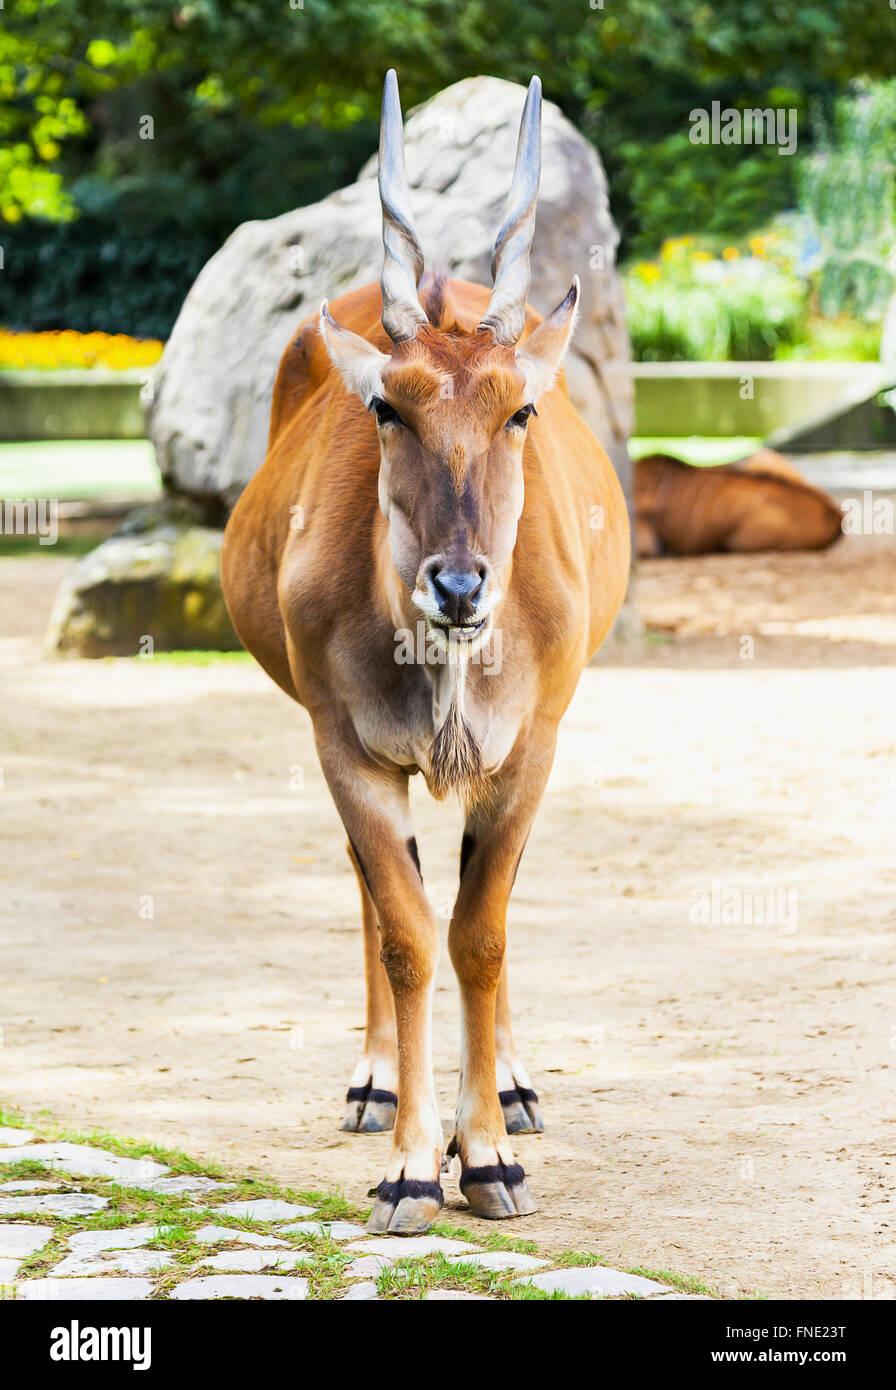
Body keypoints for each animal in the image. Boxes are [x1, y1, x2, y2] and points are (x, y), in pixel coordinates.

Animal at [222, 70, 627, 1234]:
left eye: (519, 408)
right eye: (387, 408)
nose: (456, 585)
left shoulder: (530, 748)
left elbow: (478, 932)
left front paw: (485, 1151)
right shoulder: (345, 747)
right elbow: (407, 931)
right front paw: (412, 1162)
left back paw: (512, 1088)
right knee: (380, 898)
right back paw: (376, 1085)